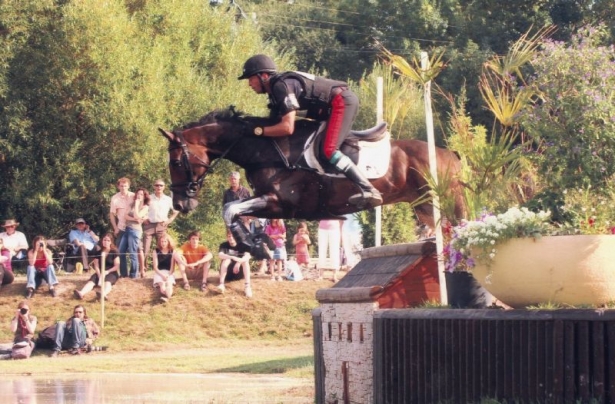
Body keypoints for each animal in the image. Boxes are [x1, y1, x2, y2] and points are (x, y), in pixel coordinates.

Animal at [160, 107, 466, 230]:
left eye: (175, 163)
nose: (180, 204)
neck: (265, 151)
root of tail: (449, 154)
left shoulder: (279, 202)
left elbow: (230, 209)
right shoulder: (274, 206)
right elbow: (235, 211)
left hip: (444, 201)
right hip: (423, 205)